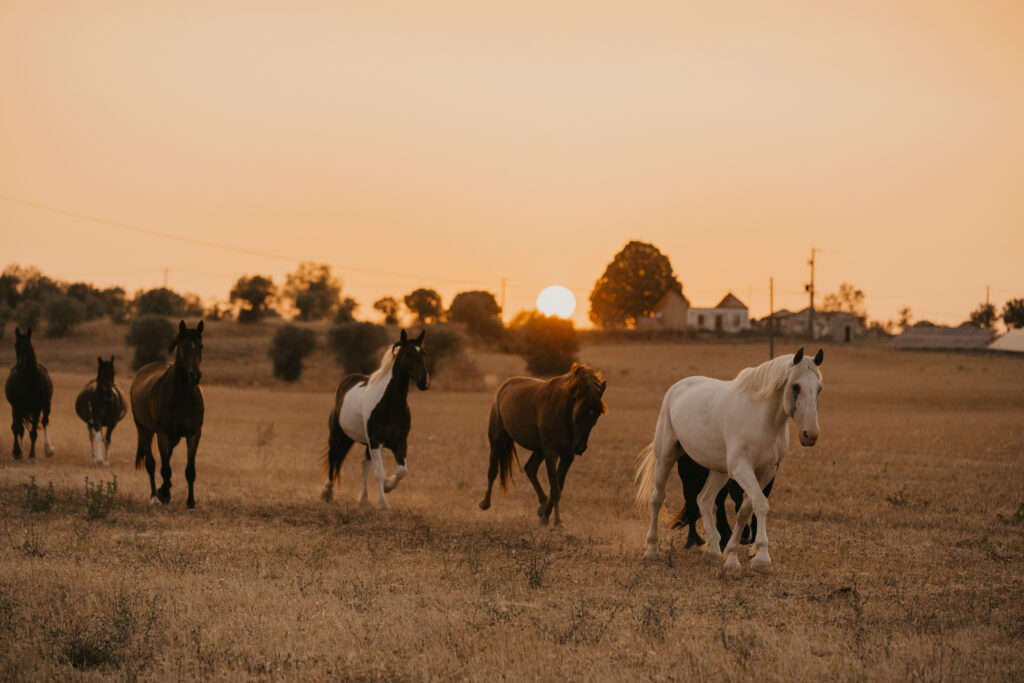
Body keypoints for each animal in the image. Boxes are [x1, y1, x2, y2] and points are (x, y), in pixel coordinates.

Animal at [4, 327, 55, 459]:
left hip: (46, 406)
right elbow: (16, 428)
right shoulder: (16, 406)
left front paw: (32, 455)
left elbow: (33, 432)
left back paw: (48, 449)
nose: (20, 366)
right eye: (16, 346)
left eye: (28, 346)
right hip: (21, 409)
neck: (26, 381)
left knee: (45, 422)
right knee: (20, 428)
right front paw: (17, 451)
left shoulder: (37, 407)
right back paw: (20, 450)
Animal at [130, 320, 205, 508]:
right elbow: (165, 469)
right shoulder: (162, 434)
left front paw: (190, 502)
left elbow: (190, 470)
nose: (195, 375)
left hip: (173, 437)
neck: (182, 397)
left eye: (201, 346)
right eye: (184, 346)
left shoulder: (193, 435)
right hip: (145, 431)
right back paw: (155, 496)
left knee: (167, 458)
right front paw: (162, 494)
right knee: (151, 464)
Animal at [321, 329, 430, 511]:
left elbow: (402, 471)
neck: (391, 406)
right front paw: (383, 504)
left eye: (423, 354)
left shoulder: (400, 442)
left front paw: (387, 486)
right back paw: (327, 493)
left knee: (363, 466)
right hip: (338, 436)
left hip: (365, 443)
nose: (424, 383)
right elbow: (379, 473)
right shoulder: (376, 441)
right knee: (333, 458)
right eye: (407, 354)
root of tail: (347, 381)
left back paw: (364, 499)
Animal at [478, 363, 607, 527]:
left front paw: (546, 516)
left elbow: (558, 486)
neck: (562, 410)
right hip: (498, 440)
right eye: (578, 414)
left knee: (530, 469)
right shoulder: (551, 453)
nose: (580, 447)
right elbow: (555, 487)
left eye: (597, 415)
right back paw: (485, 503)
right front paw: (558, 522)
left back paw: (542, 506)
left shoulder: (568, 455)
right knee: (493, 471)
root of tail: (505, 385)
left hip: (539, 449)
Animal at [636, 348, 823, 571]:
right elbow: (760, 504)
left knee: (704, 499)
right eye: (796, 386)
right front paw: (762, 558)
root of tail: (677, 388)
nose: (810, 435)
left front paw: (732, 557)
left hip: (719, 471)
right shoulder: (741, 468)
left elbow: (745, 510)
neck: (762, 419)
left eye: (819, 388)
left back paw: (713, 551)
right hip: (666, 458)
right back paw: (651, 551)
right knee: (657, 499)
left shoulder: (766, 471)